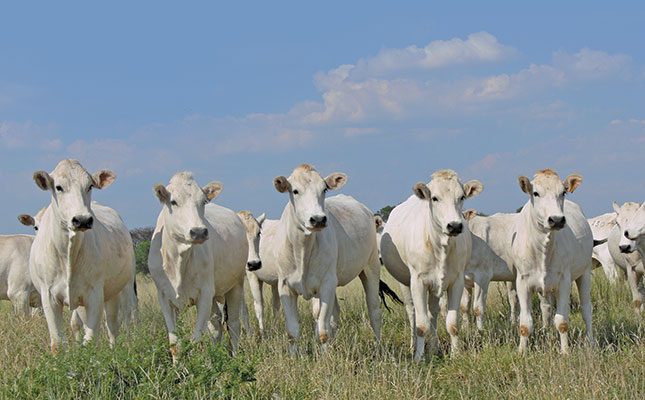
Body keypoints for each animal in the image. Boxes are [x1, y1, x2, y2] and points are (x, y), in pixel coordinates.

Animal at [29, 159, 133, 354]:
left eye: (90, 186)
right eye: (59, 187)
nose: (82, 220)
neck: (68, 253)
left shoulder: (95, 294)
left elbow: (91, 341)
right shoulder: (49, 297)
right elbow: (57, 343)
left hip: (113, 293)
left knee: (112, 327)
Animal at [148, 172, 247, 360]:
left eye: (203, 201)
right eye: (173, 202)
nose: (199, 232)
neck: (178, 260)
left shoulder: (205, 294)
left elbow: (196, 341)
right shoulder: (164, 297)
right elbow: (175, 343)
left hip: (236, 285)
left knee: (234, 324)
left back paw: (236, 356)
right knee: (216, 325)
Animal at [272, 163, 382, 354]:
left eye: (324, 189)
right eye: (295, 191)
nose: (318, 219)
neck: (302, 250)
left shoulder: (326, 284)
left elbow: (323, 330)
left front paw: (325, 357)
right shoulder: (285, 286)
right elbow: (292, 332)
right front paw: (293, 357)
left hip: (371, 267)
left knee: (374, 310)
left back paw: (378, 349)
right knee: (335, 314)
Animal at [380, 170, 480, 360]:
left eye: (462, 196)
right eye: (434, 198)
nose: (454, 225)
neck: (440, 245)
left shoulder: (456, 282)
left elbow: (452, 323)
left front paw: (456, 354)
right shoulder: (418, 281)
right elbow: (421, 325)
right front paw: (419, 358)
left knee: (433, 312)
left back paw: (434, 347)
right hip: (405, 283)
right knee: (412, 313)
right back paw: (413, 347)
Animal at [510, 170, 592, 354]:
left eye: (563, 192)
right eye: (535, 193)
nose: (556, 219)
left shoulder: (564, 280)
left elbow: (562, 322)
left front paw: (565, 352)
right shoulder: (522, 282)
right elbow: (525, 323)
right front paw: (521, 352)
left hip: (585, 272)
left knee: (586, 309)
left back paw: (592, 343)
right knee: (546, 309)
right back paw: (547, 334)